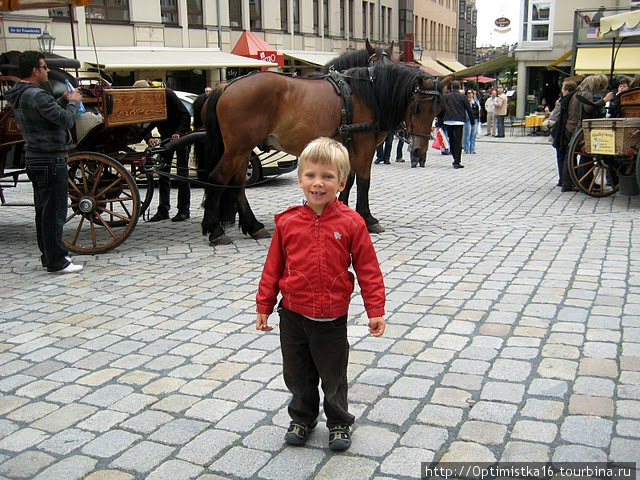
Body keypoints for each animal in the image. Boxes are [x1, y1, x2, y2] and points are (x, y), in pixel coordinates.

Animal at [202, 62, 448, 246]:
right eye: (417, 107)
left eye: (437, 110)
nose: (418, 151)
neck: (367, 95)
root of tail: (227, 85)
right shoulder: (365, 146)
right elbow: (364, 181)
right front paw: (368, 218)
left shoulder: (348, 148)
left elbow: (348, 181)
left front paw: (343, 212)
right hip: (237, 149)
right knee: (217, 179)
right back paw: (215, 231)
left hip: (242, 151)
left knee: (238, 186)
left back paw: (253, 226)